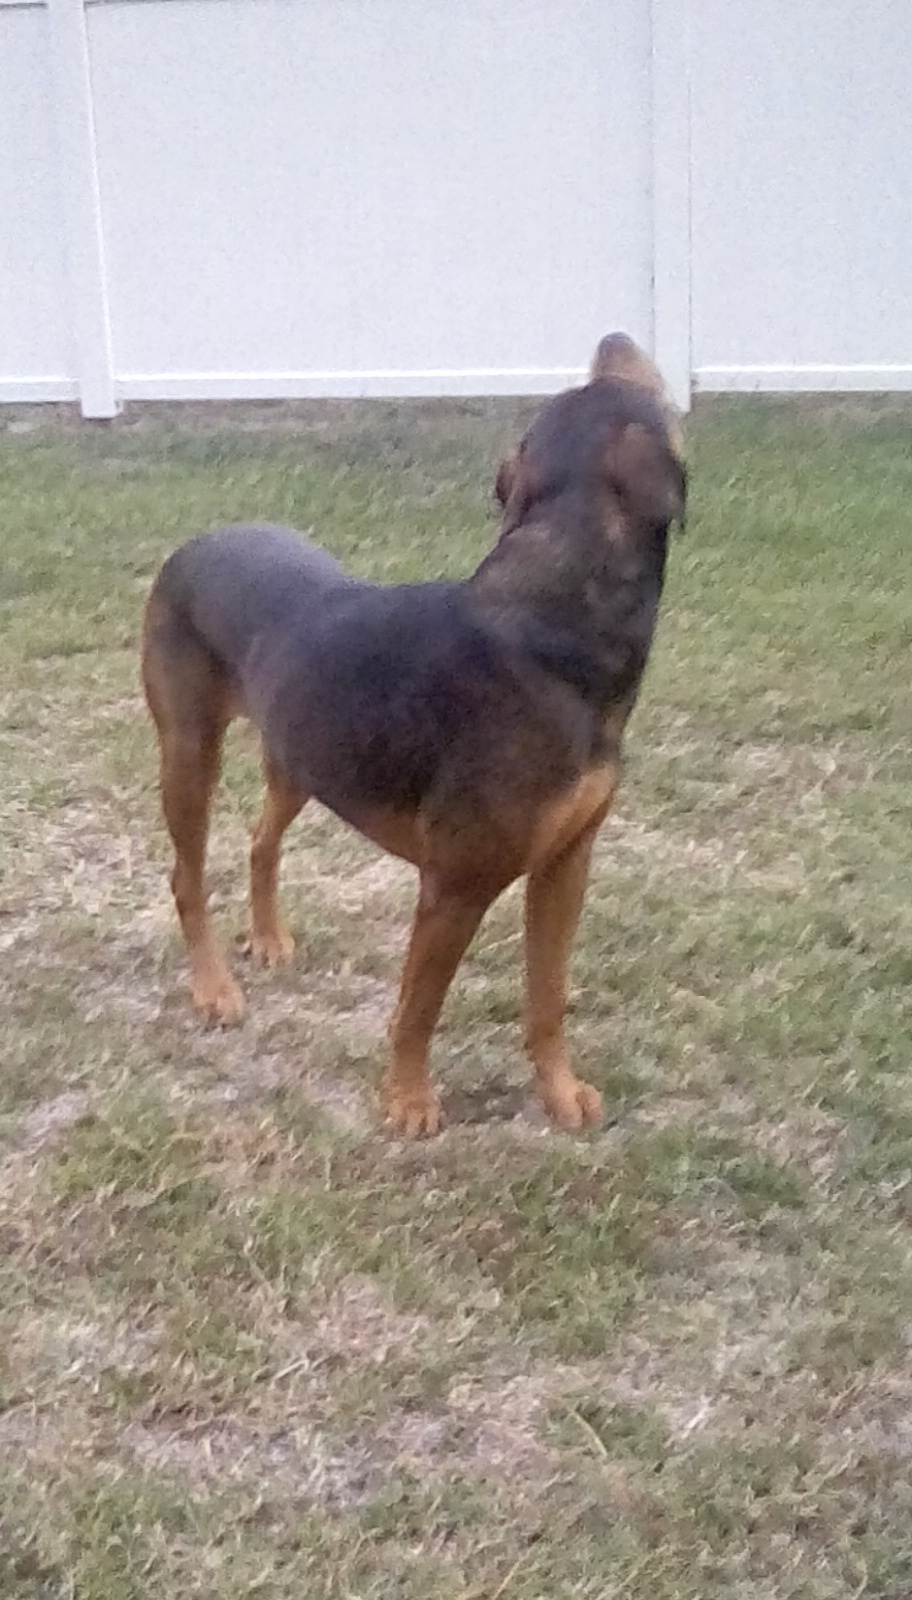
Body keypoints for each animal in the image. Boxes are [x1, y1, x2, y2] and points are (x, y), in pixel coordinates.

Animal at [140, 334, 681, 1139]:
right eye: (624, 386)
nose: (613, 339)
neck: (555, 617)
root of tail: (195, 542)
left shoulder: (566, 865)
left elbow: (547, 998)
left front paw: (559, 1094)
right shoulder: (454, 887)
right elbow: (418, 1008)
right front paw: (408, 1100)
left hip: (301, 755)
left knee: (261, 841)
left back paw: (267, 939)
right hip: (188, 749)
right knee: (187, 875)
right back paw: (214, 989)